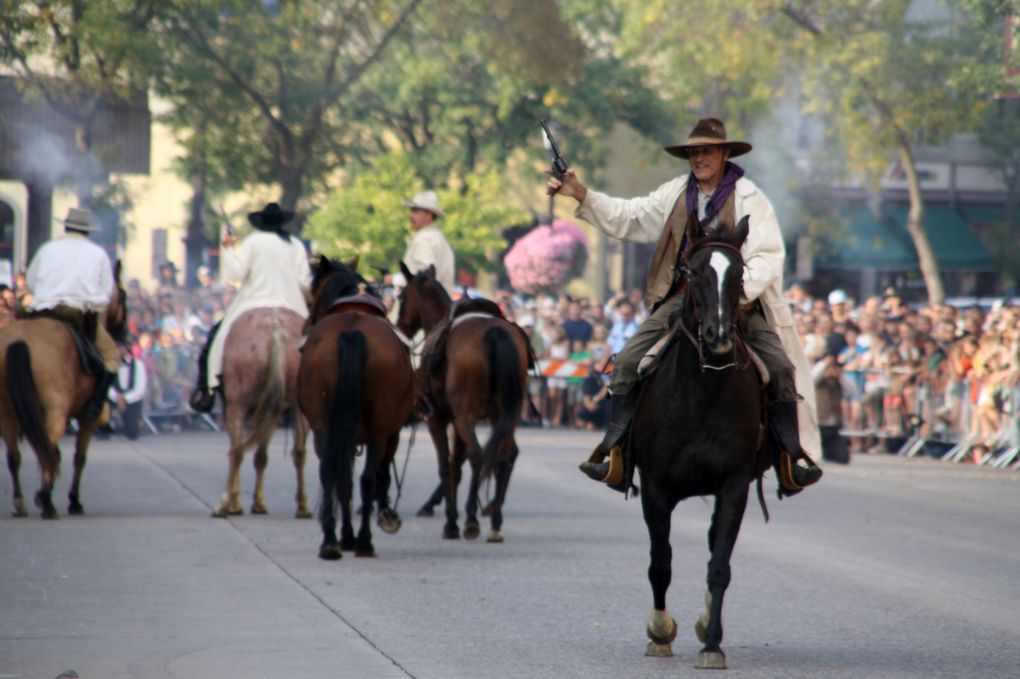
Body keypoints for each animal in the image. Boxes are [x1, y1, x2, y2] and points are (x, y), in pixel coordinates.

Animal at [0, 260, 127, 515]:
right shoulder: (88, 420)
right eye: (124, 295)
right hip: (55, 409)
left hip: (7, 411)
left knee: (15, 455)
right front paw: (73, 500)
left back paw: (21, 502)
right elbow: (79, 457)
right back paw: (46, 502)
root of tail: (20, 341)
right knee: (46, 446)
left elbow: (57, 454)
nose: (124, 331)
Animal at [211, 303, 310, 515]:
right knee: (299, 450)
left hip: (238, 405)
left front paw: (237, 501)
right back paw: (303, 506)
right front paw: (258, 502)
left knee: (236, 450)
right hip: (292, 405)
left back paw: (226, 504)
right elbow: (261, 455)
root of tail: (276, 329)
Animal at [295, 256, 414, 558]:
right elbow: (362, 479)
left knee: (331, 473)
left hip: (326, 427)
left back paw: (331, 541)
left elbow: (342, 479)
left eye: (313, 290)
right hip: (378, 431)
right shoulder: (390, 434)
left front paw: (344, 535)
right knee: (366, 478)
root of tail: (351, 332)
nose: (306, 325)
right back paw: (362, 541)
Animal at [395, 260, 530, 542]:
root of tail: (495, 332)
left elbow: (446, 465)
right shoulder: (459, 421)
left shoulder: (438, 418)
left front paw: (451, 520)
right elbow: (456, 465)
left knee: (478, 455)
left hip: (464, 417)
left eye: (402, 297)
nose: (400, 328)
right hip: (505, 417)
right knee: (504, 456)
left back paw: (470, 518)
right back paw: (495, 520)